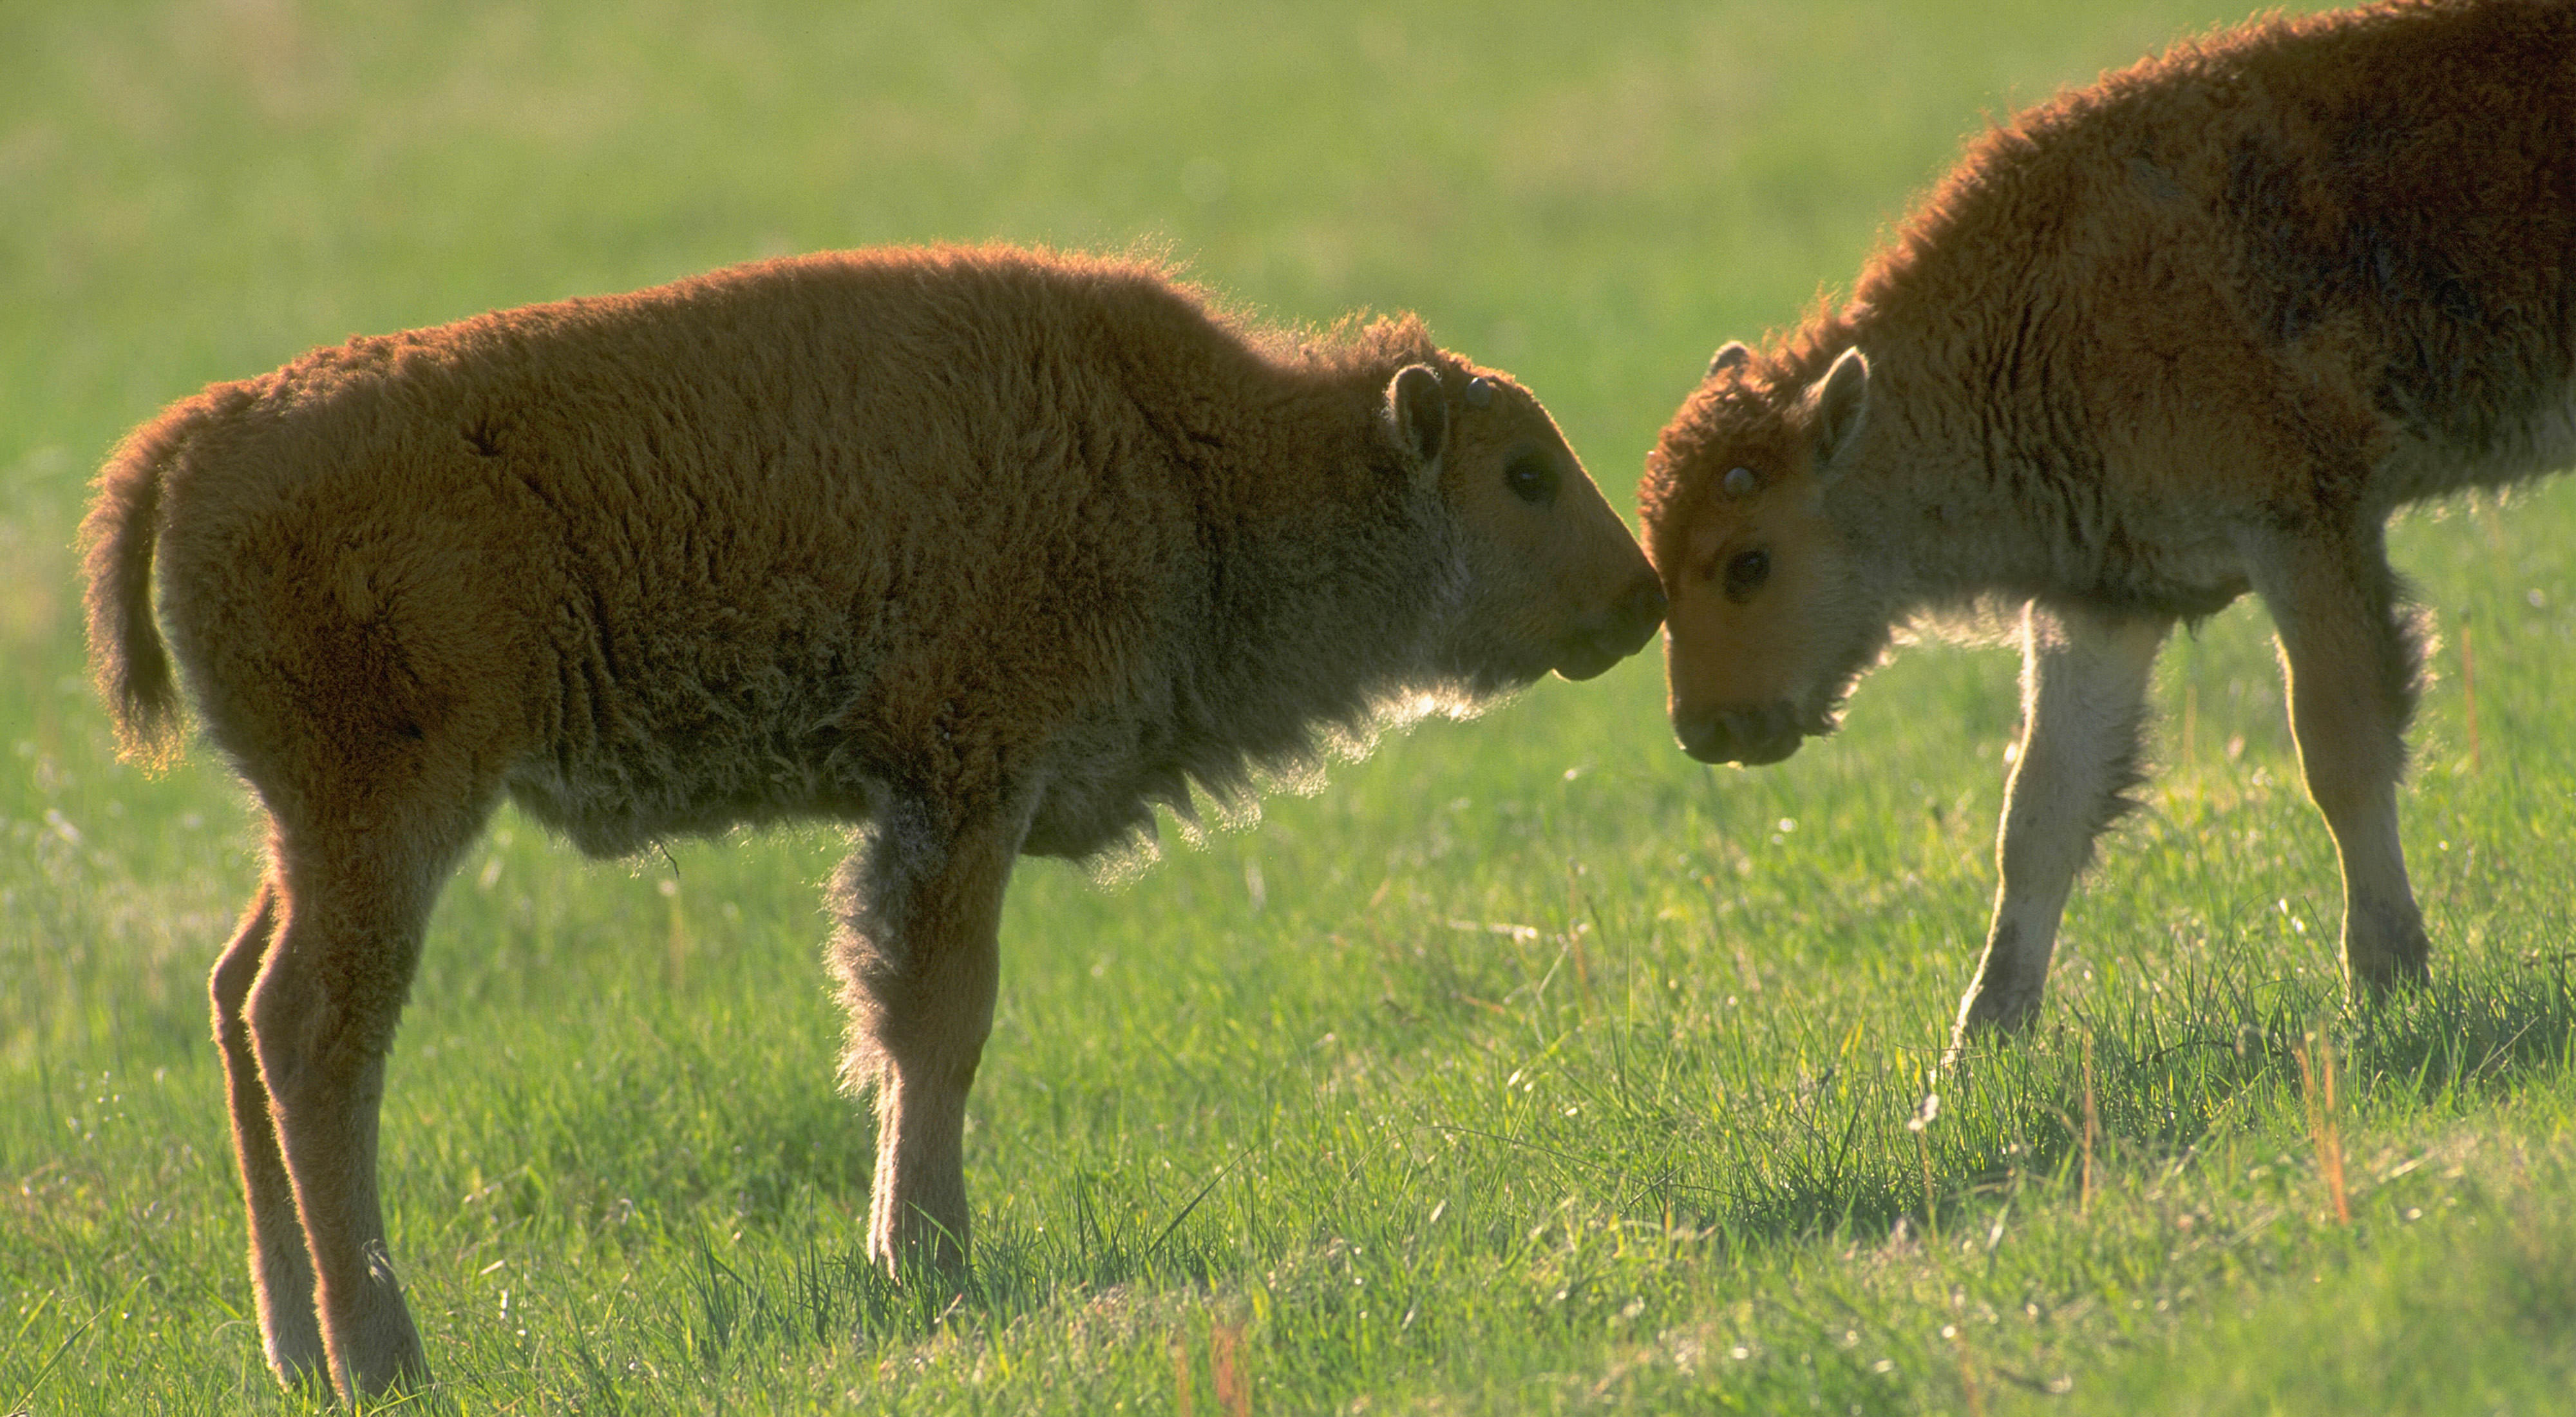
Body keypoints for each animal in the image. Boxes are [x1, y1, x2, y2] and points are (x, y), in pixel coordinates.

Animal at [81, 243, 1665, 1400]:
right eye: (1524, 475)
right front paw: (930, 1263)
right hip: (391, 815)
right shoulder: (963, 784)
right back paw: (382, 1357)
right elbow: (936, 1020)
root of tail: (208, 433)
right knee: (313, 1030)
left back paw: (298, 1348)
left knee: (236, 994)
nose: (1644, 594)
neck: (1180, 452)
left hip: (312, 829)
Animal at [1637, 0, 2574, 1060]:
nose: (1707, 729)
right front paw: (1976, 1045)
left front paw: (2382, 974)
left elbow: (2339, 751)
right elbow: (2040, 814)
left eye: (1749, 561)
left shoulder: (2306, 530)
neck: (2045, 310)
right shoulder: (2101, 600)